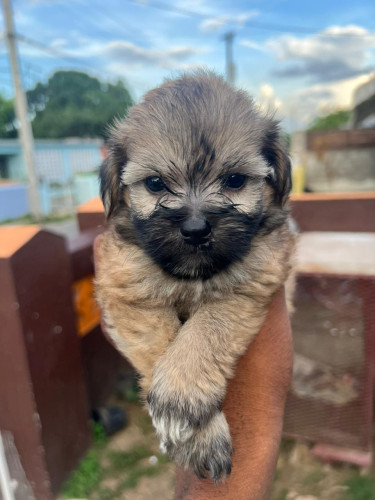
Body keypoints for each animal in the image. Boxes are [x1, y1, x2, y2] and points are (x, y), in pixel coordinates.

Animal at [94, 72, 296, 482]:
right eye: (155, 184)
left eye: (234, 180)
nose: (195, 228)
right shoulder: (126, 288)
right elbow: (161, 339)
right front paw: (197, 434)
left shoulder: (252, 283)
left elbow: (206, 329)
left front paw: (180, 394)